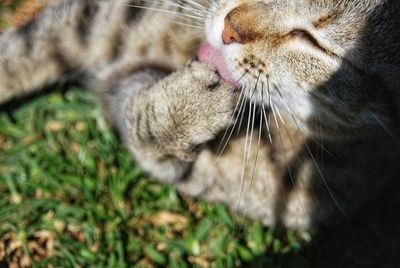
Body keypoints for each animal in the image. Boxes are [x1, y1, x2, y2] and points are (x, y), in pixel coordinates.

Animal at [0, 0, 400, 230]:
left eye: (313, 41)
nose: (230, 28)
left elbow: (143, 131)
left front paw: (185, 108)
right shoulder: (107, 16)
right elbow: (22, 51)